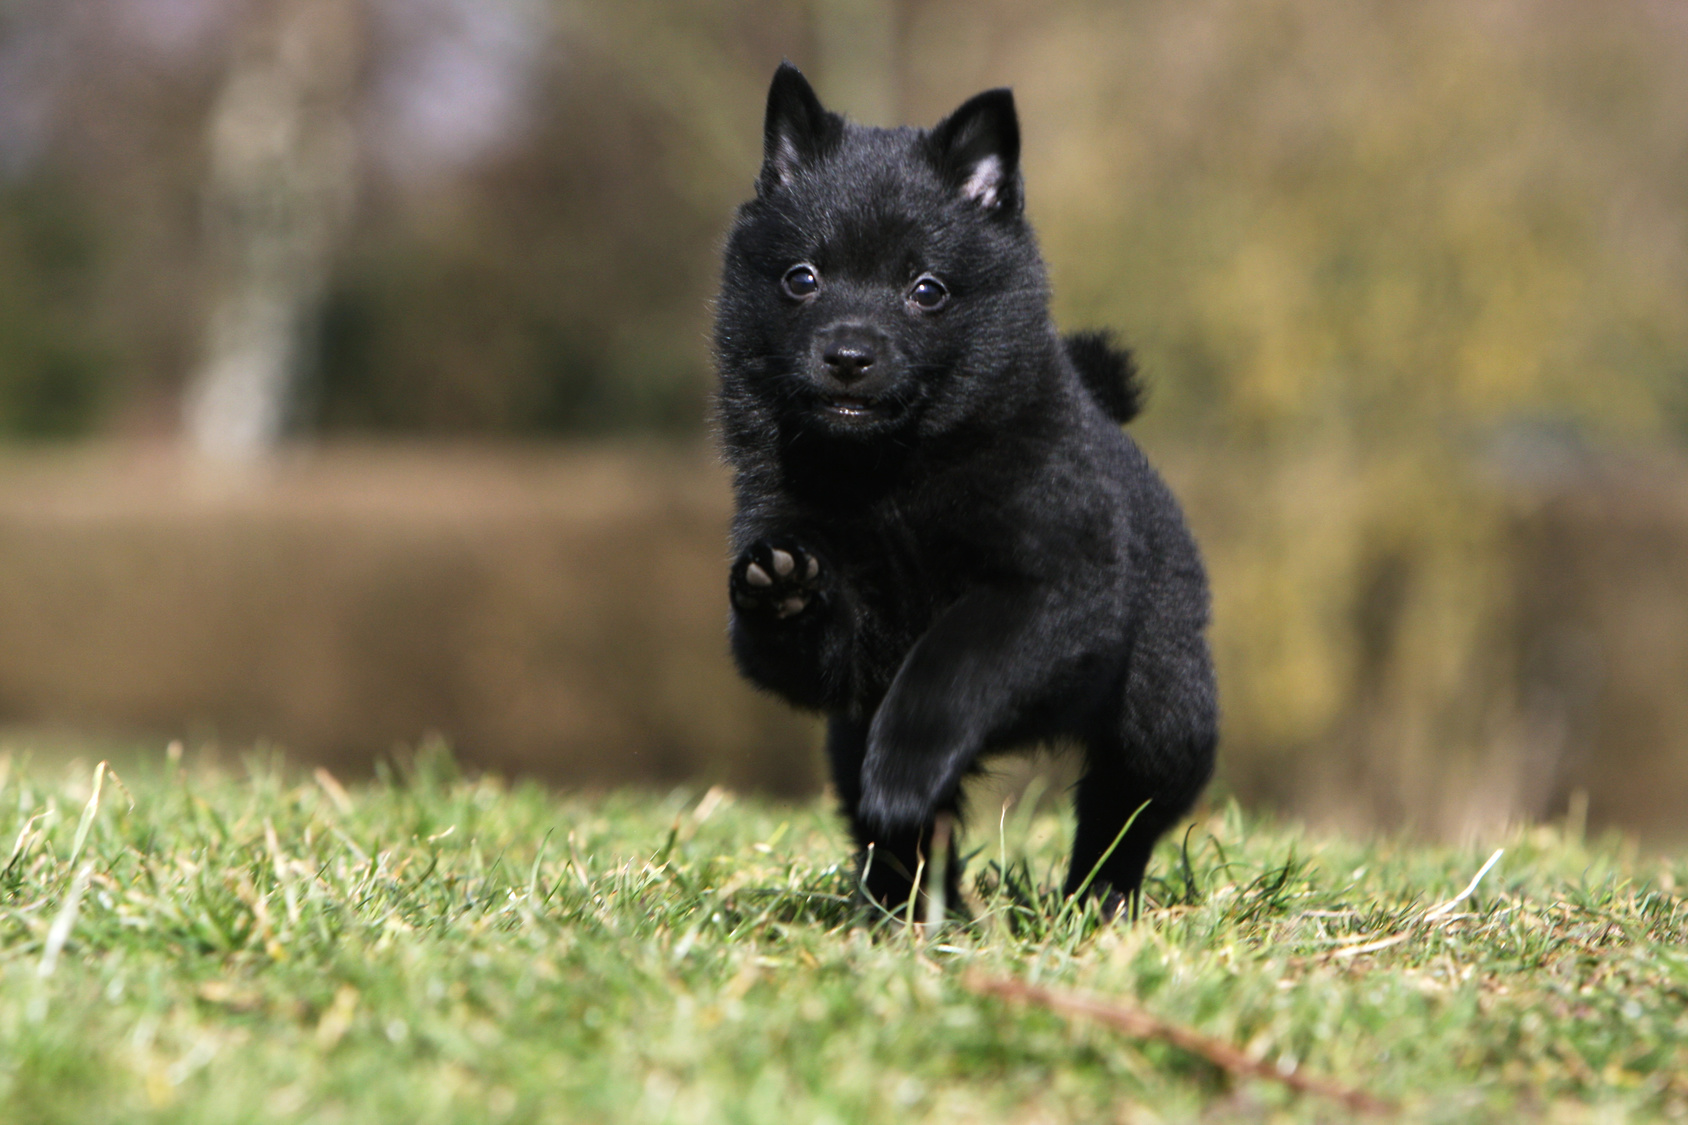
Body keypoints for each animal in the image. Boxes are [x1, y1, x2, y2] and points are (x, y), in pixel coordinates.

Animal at [712, 63, 1215, 912]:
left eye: (927, 290)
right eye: (802, 278)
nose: (848, 355)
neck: (891, 475)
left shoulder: (1048, 589)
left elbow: (947, 665)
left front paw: (906, 767)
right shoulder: (848, 657)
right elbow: (811, 641)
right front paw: (784, 587)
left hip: (1163, 711)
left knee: (1125, 810)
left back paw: (1096, 901)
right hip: (849, 743)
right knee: (893, 829)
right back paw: (906, 906)